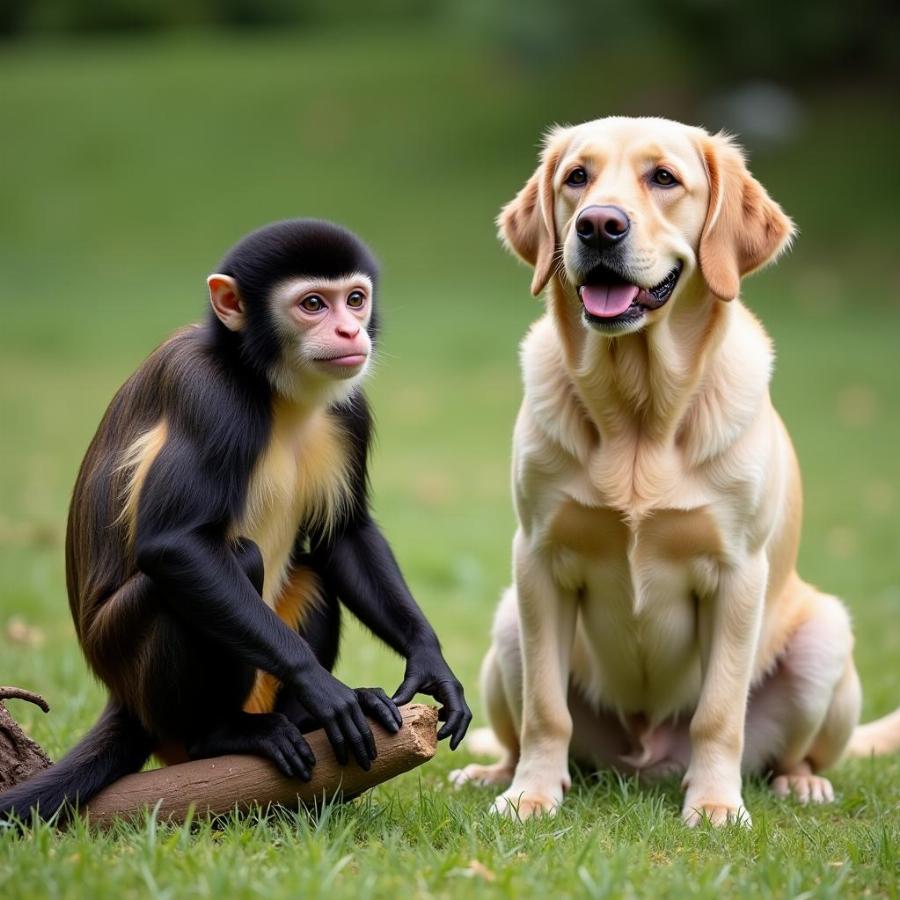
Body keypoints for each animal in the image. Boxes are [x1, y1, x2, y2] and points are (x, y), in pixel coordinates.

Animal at [0, 218, 474, 824]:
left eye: (355, 300)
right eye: (313, 304)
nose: (350, 333)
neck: (268, 382)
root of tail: (124, 701)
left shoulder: (351, 408)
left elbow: (344, 534)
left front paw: (431, 663)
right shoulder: (211, 397)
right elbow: (174, 545)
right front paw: (322, 687)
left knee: (311, 574)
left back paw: (301, 720)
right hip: (128, 661)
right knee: (214, 566)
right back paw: (222, 736)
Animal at [450, 116, 900, 828]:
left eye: (663, 178)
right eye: (576, 177)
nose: (598, 225)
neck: (639, 410)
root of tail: (644, 762)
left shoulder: (737, 573)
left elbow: (718, 712)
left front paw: (715, 805)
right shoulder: (539, 560)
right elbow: (547, 711)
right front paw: (530, 796)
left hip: (825, 639)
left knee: (791, 752)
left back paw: (798, 784)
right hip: (508, 626)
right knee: (521, 727)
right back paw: (495, 773)